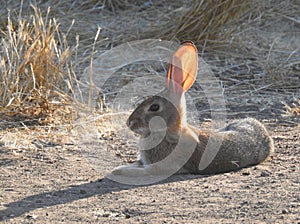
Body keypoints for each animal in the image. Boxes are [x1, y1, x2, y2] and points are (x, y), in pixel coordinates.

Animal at [110, 41, 274, 178]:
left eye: (154, 107)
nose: (129, 123)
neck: (168, 131)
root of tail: (266, 135)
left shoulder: (163, 167)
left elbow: (144, 171)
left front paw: (117, 171)